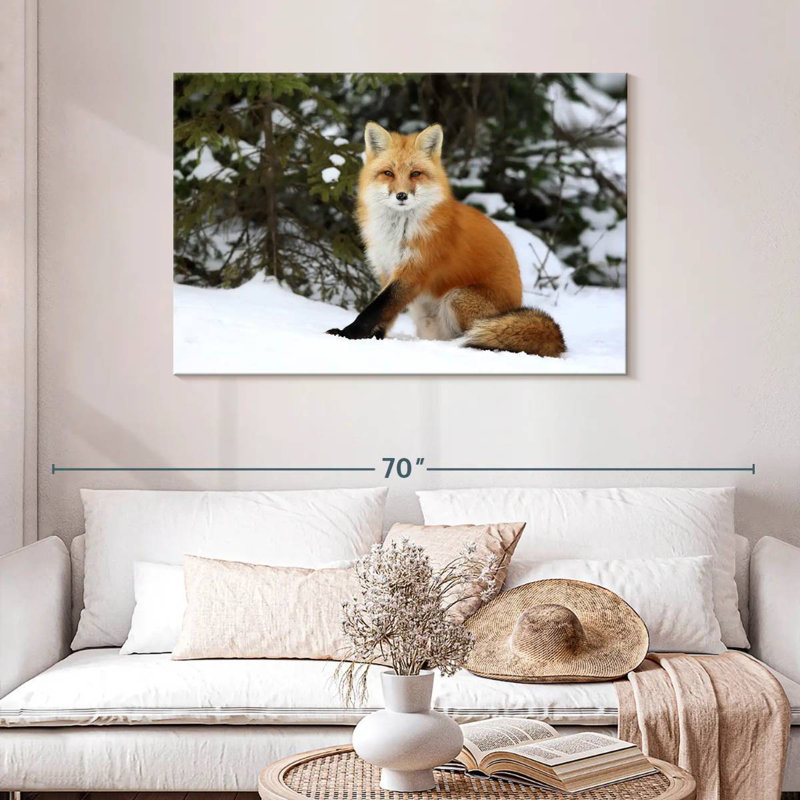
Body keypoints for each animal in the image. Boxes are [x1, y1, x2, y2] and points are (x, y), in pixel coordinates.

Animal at [326, 122, 565, 357]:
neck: (398, 231)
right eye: (388, 173)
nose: (401, 195)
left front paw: (347, 334)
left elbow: (375, 309)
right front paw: (374, 338)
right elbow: (386, 312)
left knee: (473, 335)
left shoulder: (414, 271)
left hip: (456, 297)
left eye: (415, 173)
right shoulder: (387, 270)